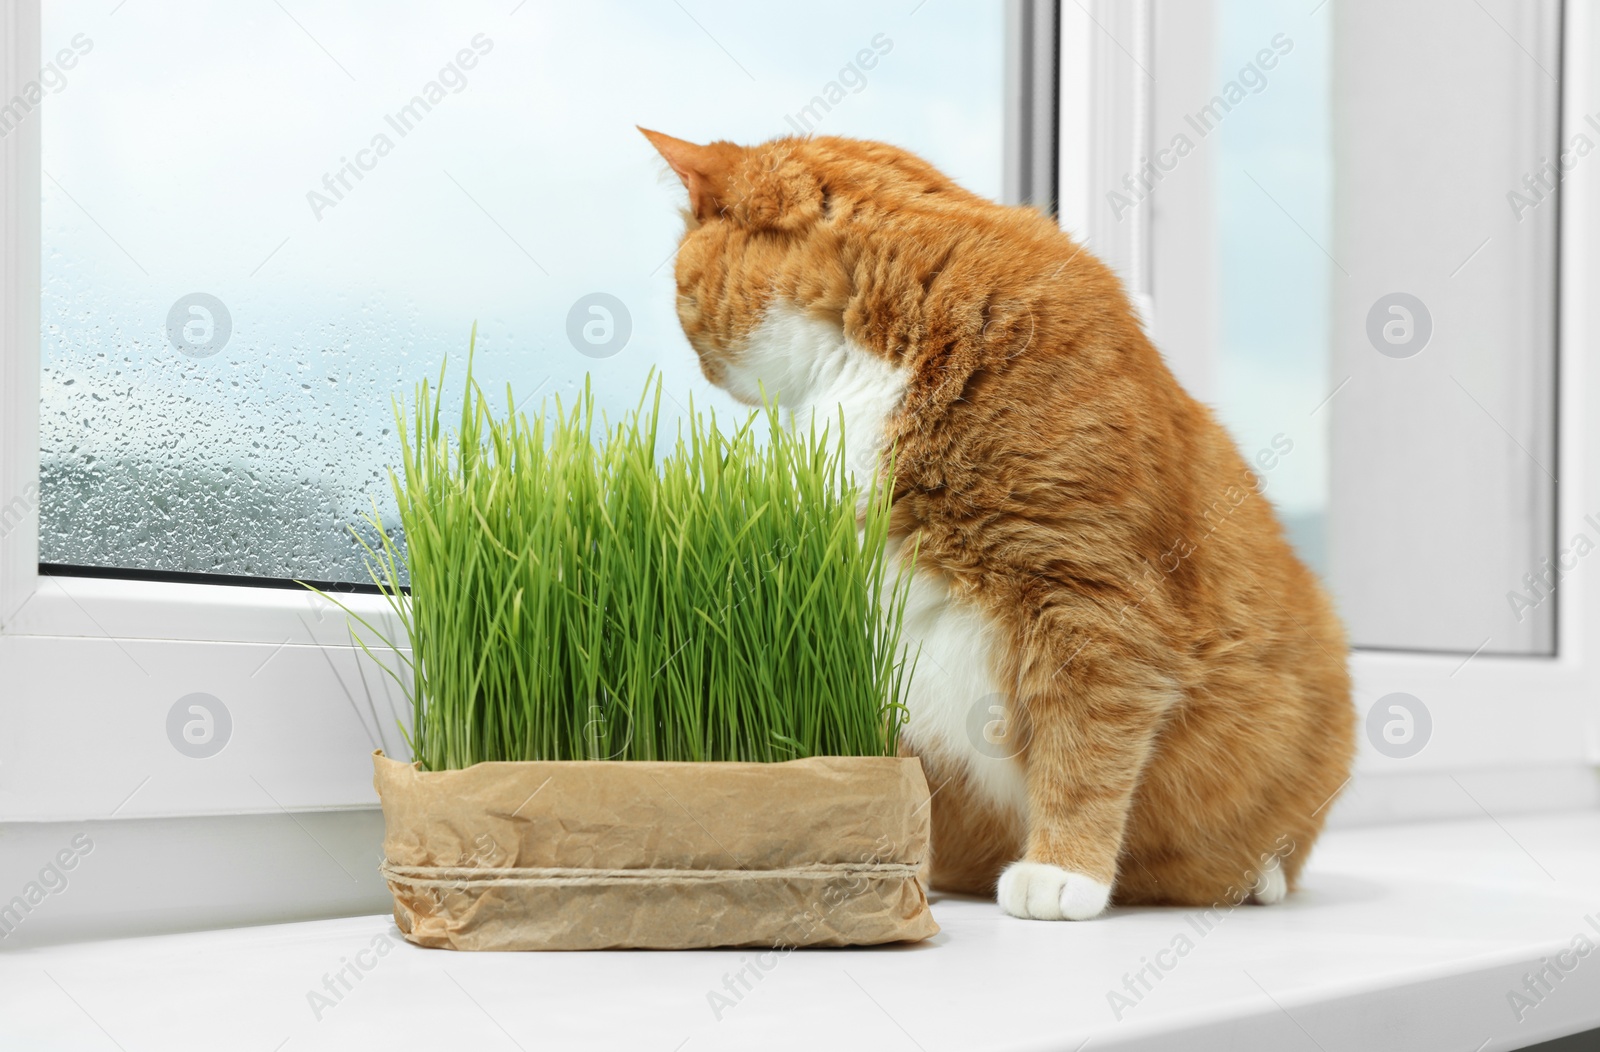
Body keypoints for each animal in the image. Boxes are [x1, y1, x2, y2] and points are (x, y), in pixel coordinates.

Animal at [643, 128, 1356, 920]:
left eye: (679, 292)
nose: (706, 374)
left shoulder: (1091, 599)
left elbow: (1085, 748)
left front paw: (1063, 870)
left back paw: (1255, 878)